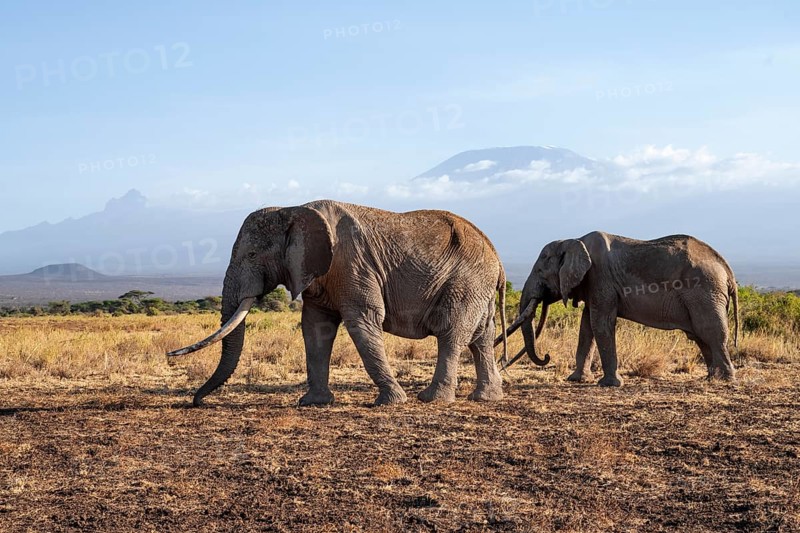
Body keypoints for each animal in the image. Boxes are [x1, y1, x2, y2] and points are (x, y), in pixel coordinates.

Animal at [168, 200, 508, 407]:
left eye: (252, 254)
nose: (197, 402)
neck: (293, 210)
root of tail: (497, 257)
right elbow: (315, 328)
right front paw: (314, 402)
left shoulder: (352, 262)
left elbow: (362, 321)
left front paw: (391, 402)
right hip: (478, 287)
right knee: (482, 338)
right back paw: (486, 398)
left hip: (466, 282)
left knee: (451, 334)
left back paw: (431, 399)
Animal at [496, 232, 739, 386]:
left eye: (540, 271)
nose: (547, 356)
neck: (574, 240)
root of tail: (727, 269)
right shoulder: (593, 284)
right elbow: (587, 327)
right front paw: (577, 380)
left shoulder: (600, 277)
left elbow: (600, 323)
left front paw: (610, 384)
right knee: (700, 336)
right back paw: (711, 378)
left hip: (704, 290)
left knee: (709, 331)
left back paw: (724, 380)